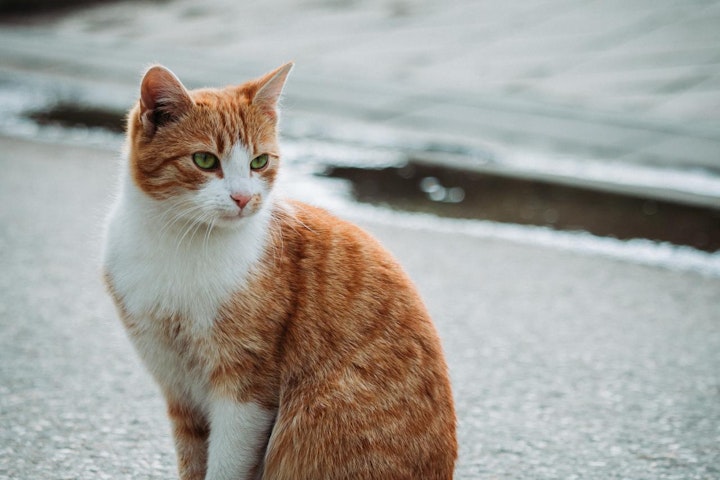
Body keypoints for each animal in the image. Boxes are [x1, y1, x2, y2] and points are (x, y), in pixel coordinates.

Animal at [101, 63, 456, 480]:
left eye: (259, 162)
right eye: (204, 160)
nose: (243, 198)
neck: (180, 242)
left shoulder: (247, 389)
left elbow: (225, 466)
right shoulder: (178, 387)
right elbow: (193, 461)